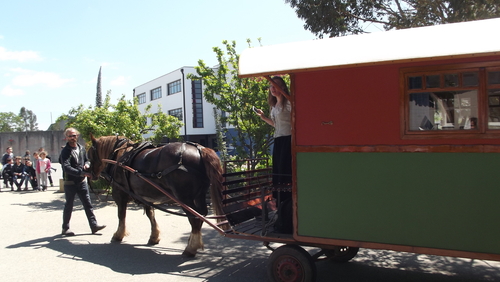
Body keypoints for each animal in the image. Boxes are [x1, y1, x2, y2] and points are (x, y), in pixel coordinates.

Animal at [87, 135, 225, 258]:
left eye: (89, 154)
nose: (89, 172)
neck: (119, 157)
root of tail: (200, 149)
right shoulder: (145, 196)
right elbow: (151, 215)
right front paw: (154, 237)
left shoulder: (119, 194)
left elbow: (121, 215)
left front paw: (118, 234)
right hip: (199, 196)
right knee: (201, 215)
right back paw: (192, 241)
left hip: (184, 198)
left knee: (194, 218)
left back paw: (190, 248)